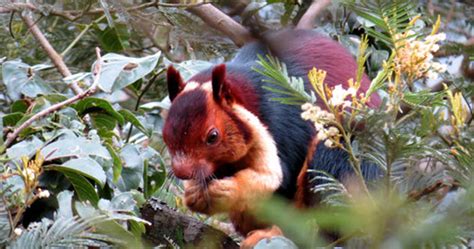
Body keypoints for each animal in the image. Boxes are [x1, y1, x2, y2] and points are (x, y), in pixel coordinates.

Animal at [162, 29, 382, 247]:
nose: (182, 171)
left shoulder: (285, 122)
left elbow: (279, 177)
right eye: (166, 134)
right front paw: (194, 193)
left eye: (213, 136)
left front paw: (227, 191)